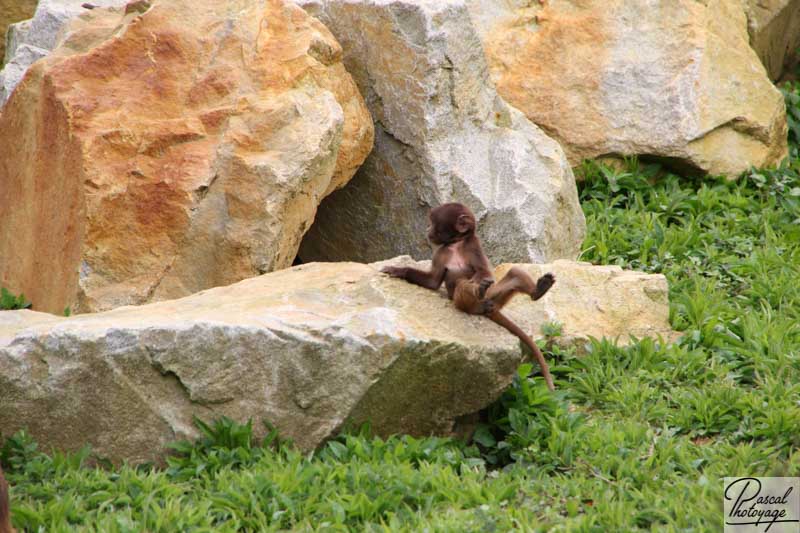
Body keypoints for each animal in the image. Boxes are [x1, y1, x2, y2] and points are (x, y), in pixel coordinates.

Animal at [382, 202, 556, 388]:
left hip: (494, 296)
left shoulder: (473, 245)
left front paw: (477, 284)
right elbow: (433, 281)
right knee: (467, 286)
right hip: (481, 301)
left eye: (433, 222)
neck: (456, 244)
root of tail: (489, 306)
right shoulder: (442, 252)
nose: (427, 229)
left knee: (513, 273)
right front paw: (399, 271)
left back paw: (536, 290)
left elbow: (484, 272)